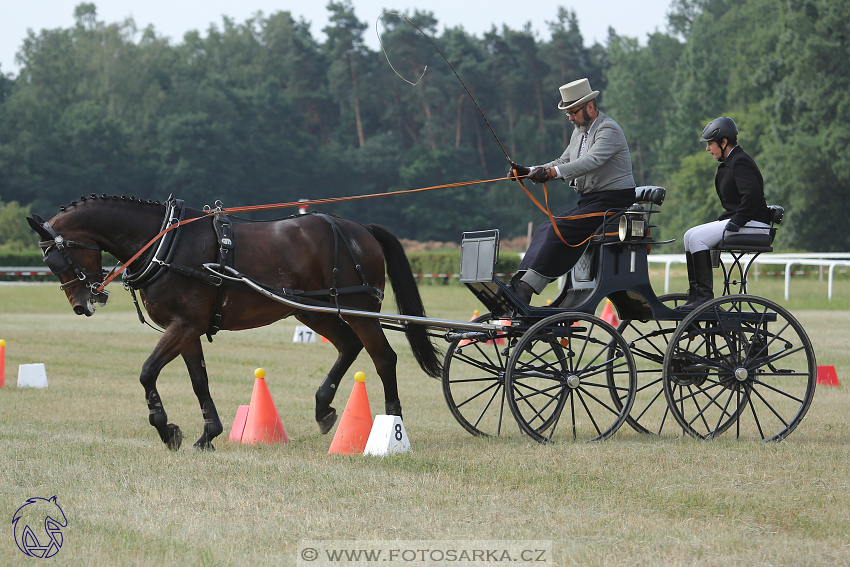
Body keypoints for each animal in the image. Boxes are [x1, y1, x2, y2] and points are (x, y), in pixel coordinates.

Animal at [24, 195, 444, 452]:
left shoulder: (183, 326)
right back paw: (323, 407)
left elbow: (147, 372)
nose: (82, 305)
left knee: (384, 358)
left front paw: (165, 427)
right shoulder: (188, 329)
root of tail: (360, 230)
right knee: (348, 347)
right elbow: (199, 381)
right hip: (311, 310)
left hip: (359, 309)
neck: (165, 243)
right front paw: (207, 434)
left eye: (56, 260)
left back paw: (392, 424)